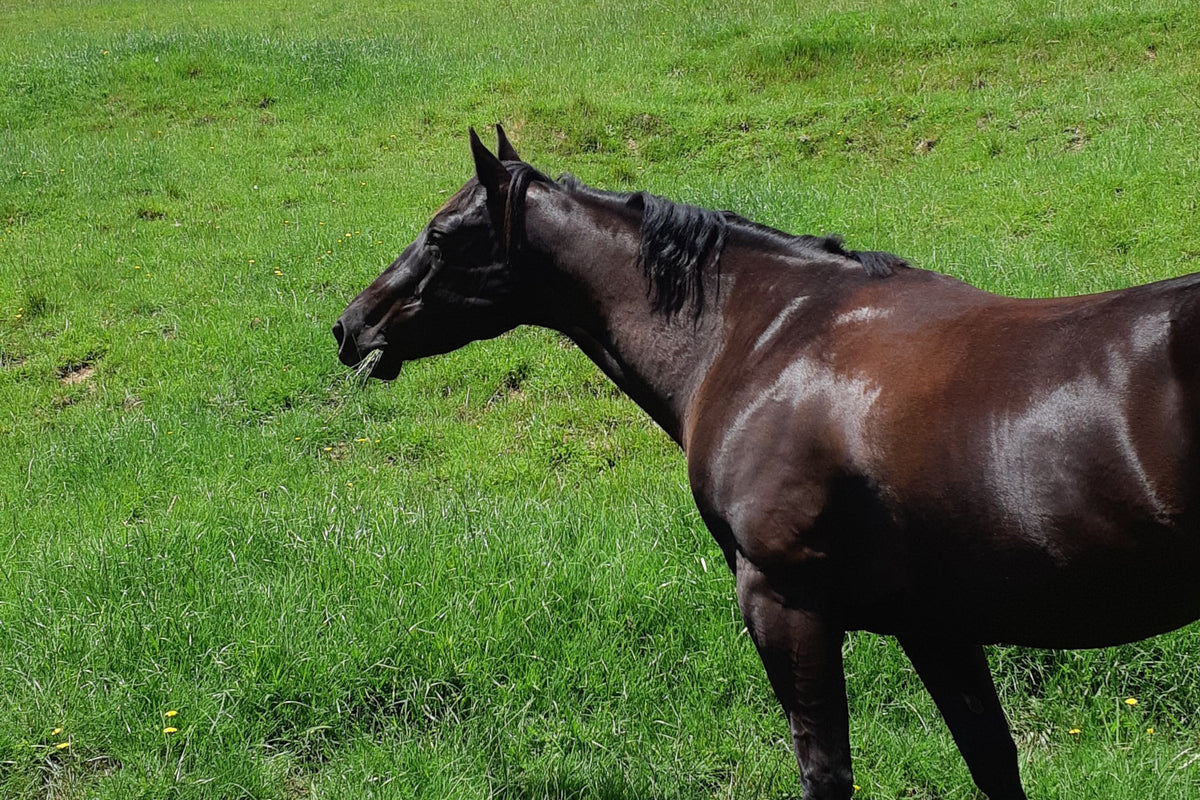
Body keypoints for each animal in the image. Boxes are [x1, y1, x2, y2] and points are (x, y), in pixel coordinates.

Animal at [333, 126, 1200, 799]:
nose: (351, 324)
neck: (768, 334)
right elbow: (993, 760)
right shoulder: (934, 622)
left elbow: (827, 772)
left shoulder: (784, 601)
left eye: (441, 236)